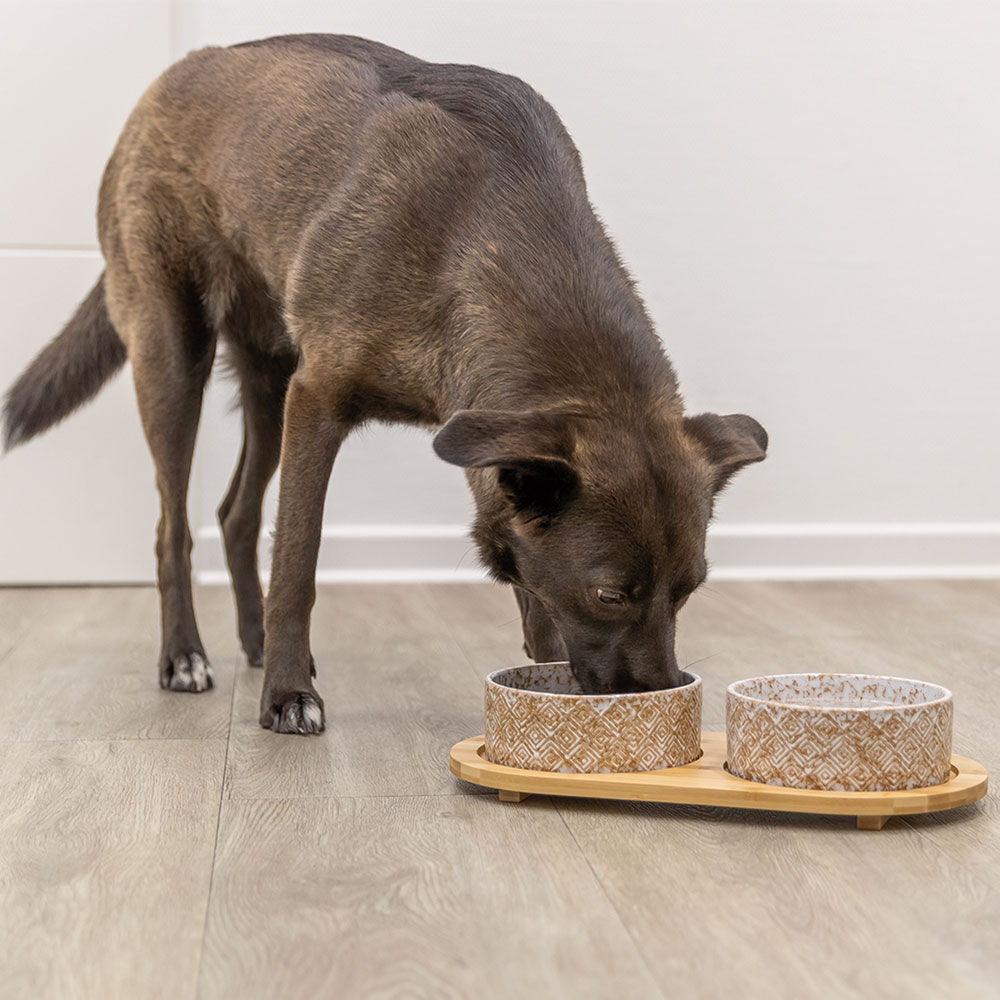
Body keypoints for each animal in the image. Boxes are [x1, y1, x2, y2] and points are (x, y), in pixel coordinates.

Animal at [1, 33, 764, 736]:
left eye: (690, 589)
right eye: (610, 596)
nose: (660, 696)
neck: (481, 228)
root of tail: (167, 80)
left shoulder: (476, 438)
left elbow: (529, 584)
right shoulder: (319, 401)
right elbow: (299, 561)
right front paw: (288, 696)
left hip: (270, 382)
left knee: (235, 513)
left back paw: (252, 639)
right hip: (174, 354)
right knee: (173, 528)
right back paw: (185, 657)